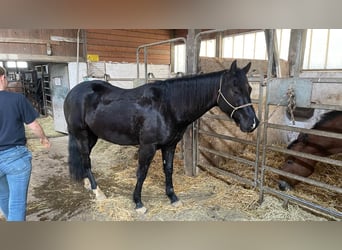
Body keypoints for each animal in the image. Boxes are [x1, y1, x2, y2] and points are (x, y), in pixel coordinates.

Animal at [63, 59, 260, 212]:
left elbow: (168, 170)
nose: (252, 123)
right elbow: (142, 173)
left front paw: (173, 198)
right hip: (81, 134)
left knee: (85, 158)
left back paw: (87, 184)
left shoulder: (170, 145)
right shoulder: (147, 147)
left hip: (91, 136)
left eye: (250, 89)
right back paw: (98, 192)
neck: (167, 106)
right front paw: (138, 203)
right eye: (235, 90)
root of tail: (73, 92)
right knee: (86, 159)